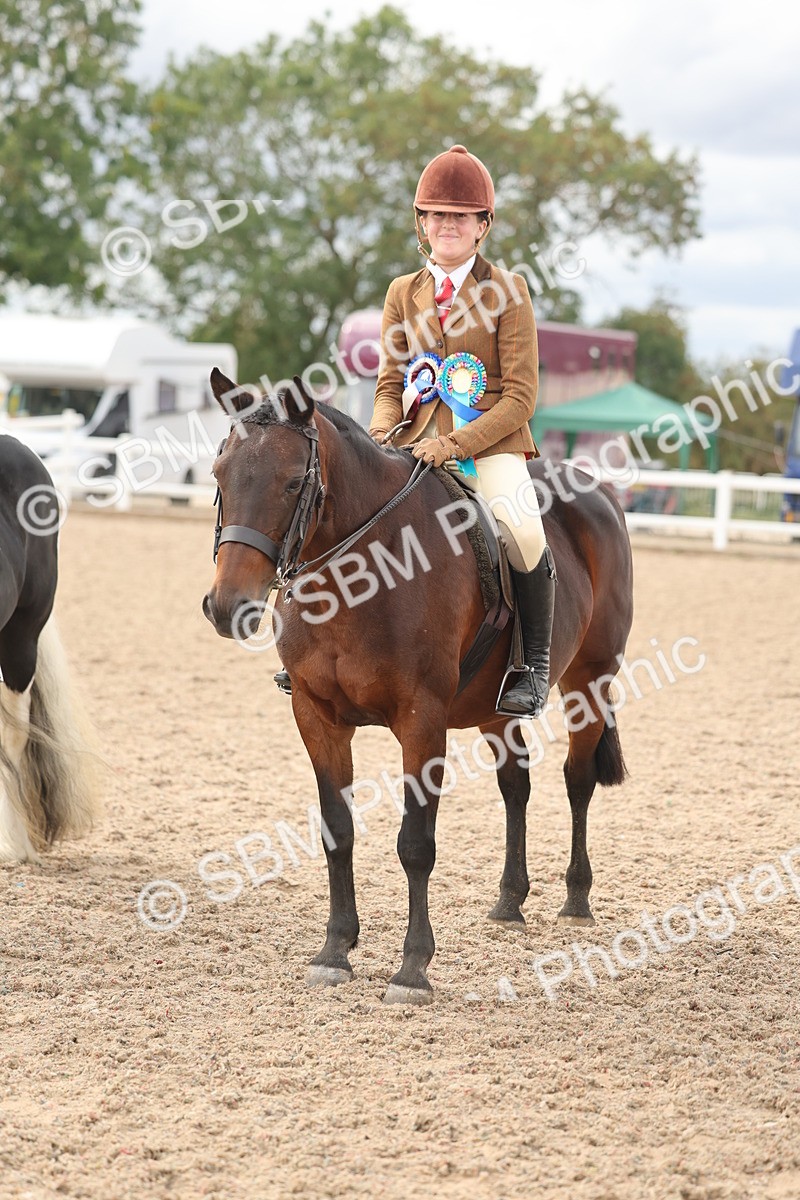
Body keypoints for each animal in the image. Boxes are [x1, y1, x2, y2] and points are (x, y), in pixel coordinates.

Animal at [203, 371, 634, 1005]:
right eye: (219, 476)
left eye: (291, 482)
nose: (228, 606)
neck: (361, 575)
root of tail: (597, 491)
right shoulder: (316, 715)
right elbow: (337, 830)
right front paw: (334, 951)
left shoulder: (421, 720)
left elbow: (416, 843)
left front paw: (412, 969)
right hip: (494, 708)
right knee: (516, 785)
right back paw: (510, 901)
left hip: (592, 680)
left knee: (576, 780)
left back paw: (576, 897)